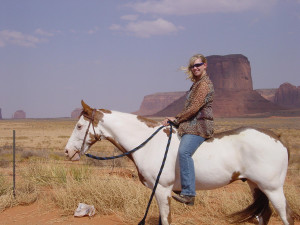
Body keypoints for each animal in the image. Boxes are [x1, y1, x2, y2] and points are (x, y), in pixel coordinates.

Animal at [64, 101, 294, 224]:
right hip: (256, 186)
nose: (67, 152)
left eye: (79, 126)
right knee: (264, 215)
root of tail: (278, 138)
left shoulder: (162, 190)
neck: (149, 143)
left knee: (286, 216)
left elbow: (166, 220)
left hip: (272, 188)